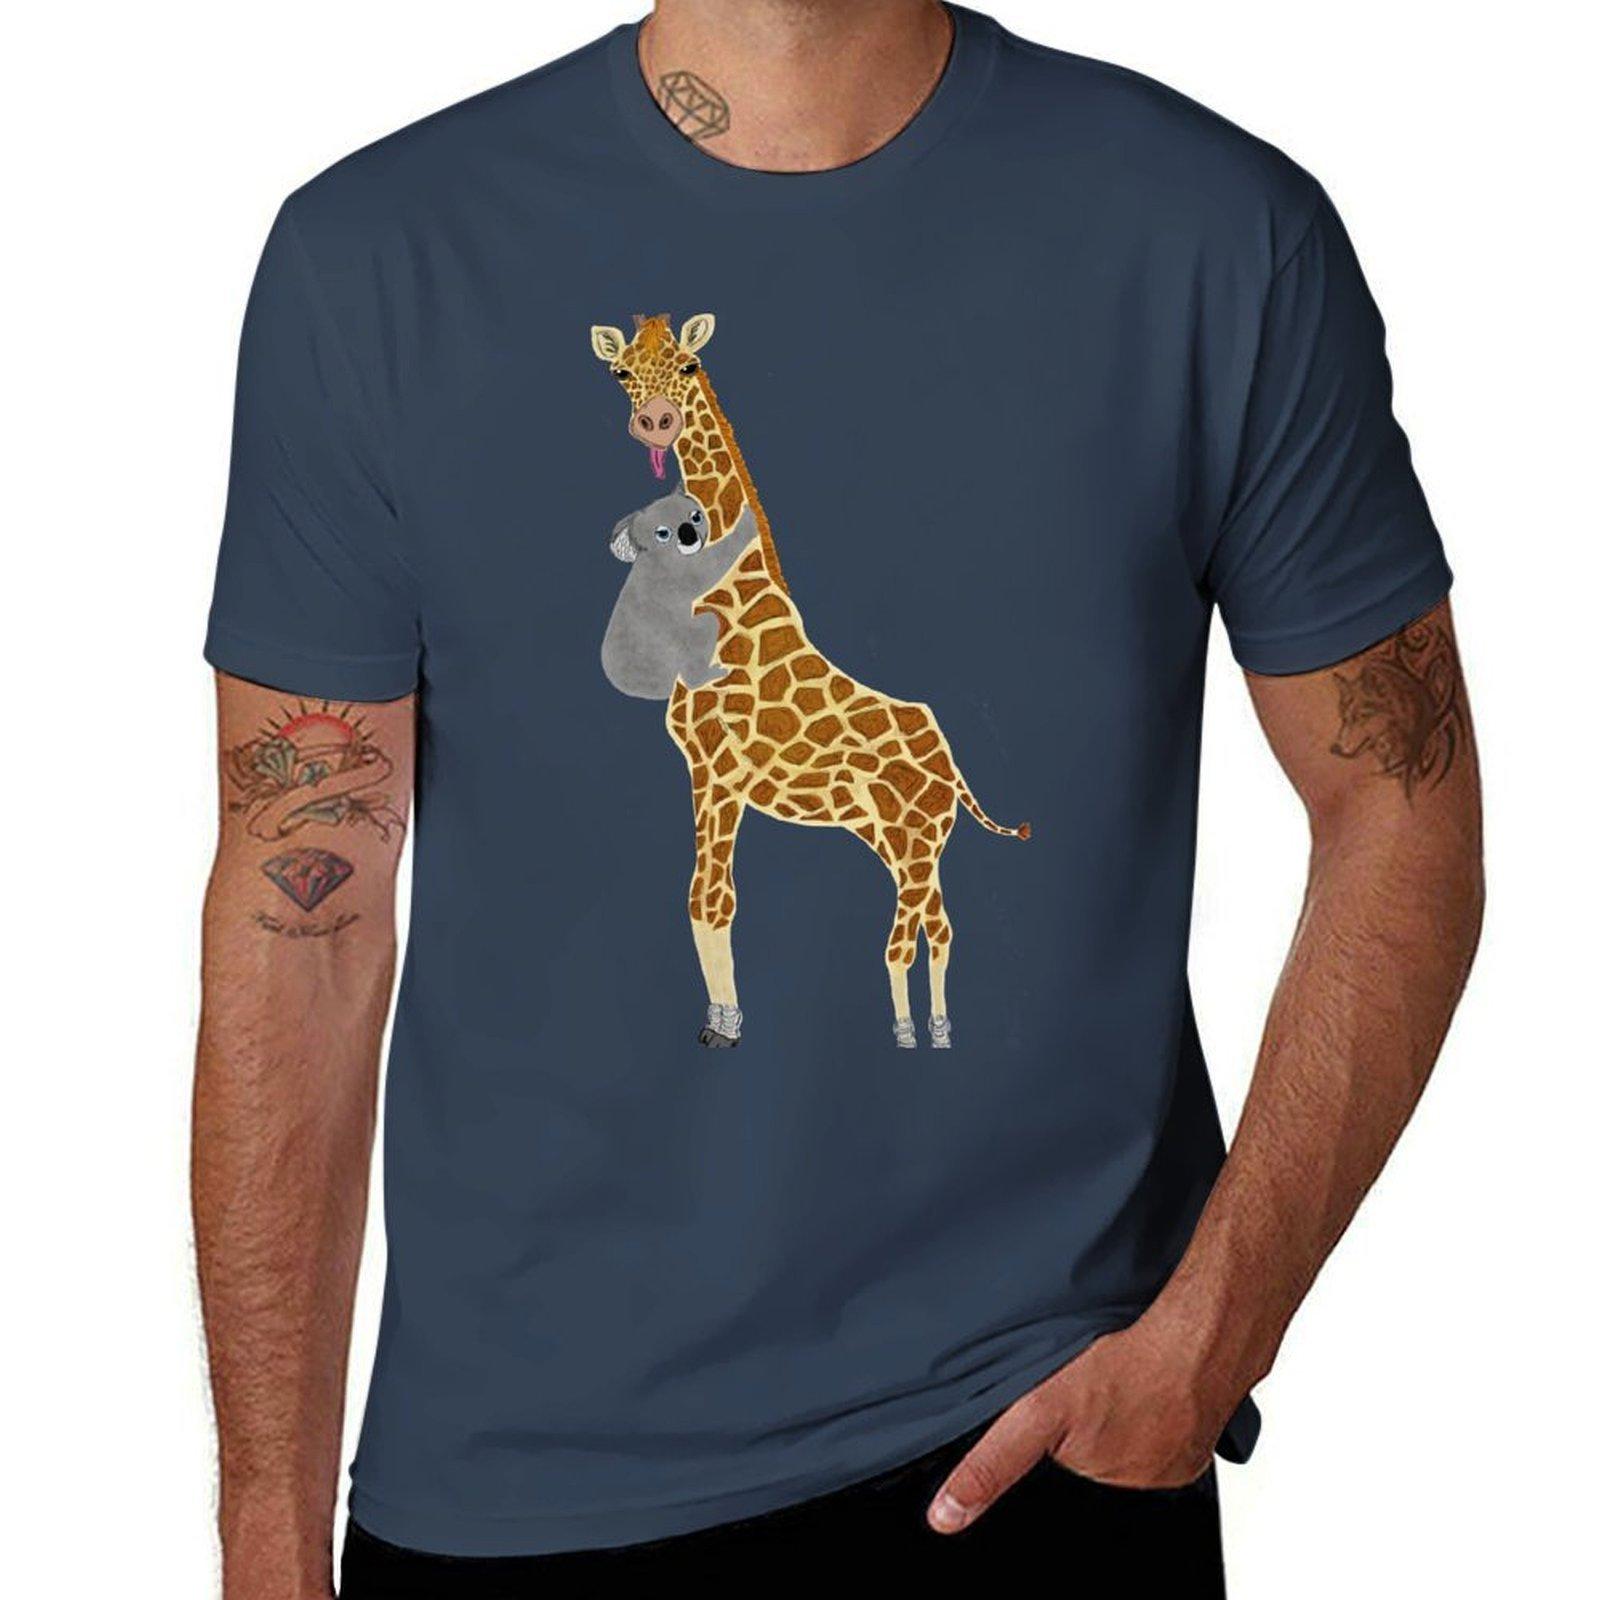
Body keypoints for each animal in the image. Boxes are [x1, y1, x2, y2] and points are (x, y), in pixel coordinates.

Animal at [589, 313, 1028, 1049]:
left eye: (687, 365)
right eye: (621, 372)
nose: (655, 422)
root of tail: (954, 768)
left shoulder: (719, 772)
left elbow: (713, 899)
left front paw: (726, 1026)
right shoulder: (704, 771)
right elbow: (702, 898)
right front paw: (719, 1018)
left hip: (914, 840)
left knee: (920, 927)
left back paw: (919, 1031)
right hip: (901, 841)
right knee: (938, 923)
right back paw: (935, 1031)